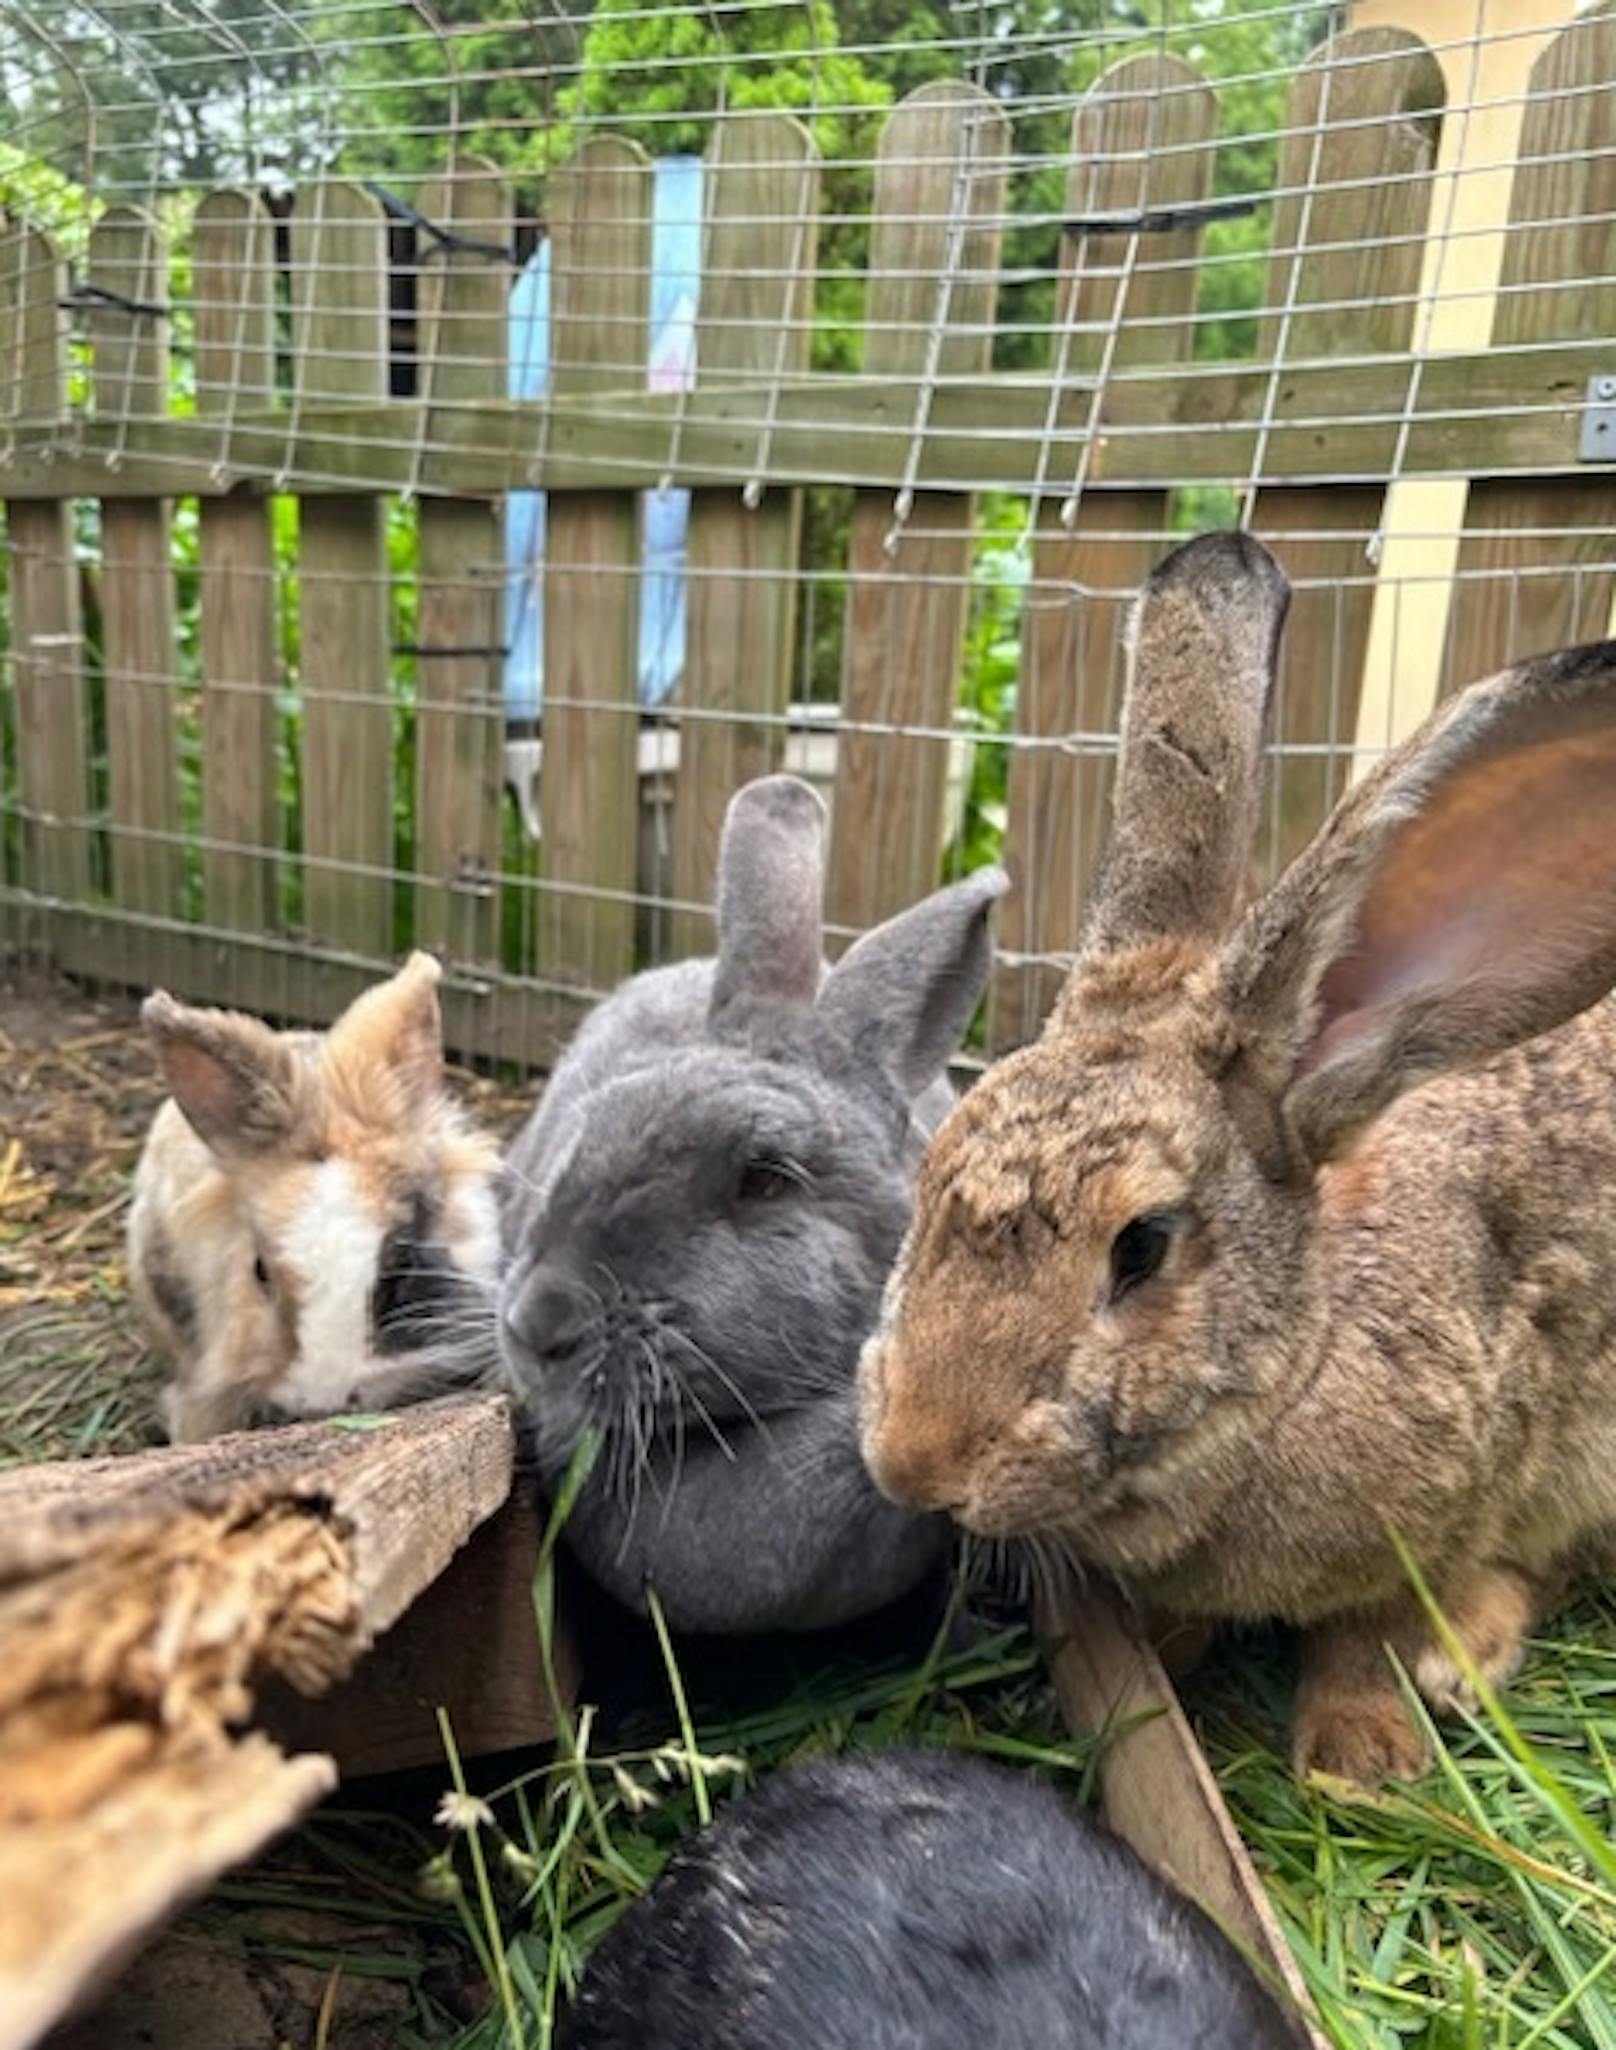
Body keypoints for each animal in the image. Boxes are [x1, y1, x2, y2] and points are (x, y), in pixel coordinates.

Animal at [857, 528, 1616, 1779]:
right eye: (922, 1186)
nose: (914, 1464)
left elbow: (1376, 1622)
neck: (1293, 1356)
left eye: (1142, 1246)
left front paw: (1359, 1753)